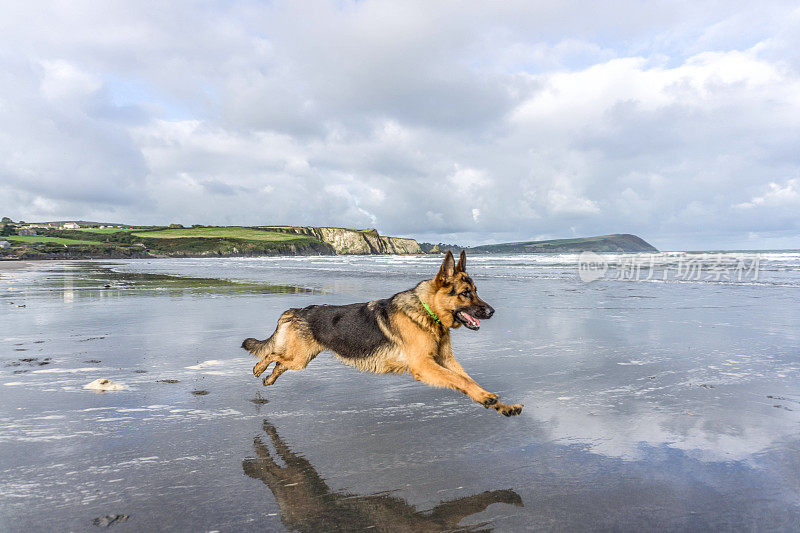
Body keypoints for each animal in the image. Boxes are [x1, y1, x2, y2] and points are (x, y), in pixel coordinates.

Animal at [241, 251, 520, 418]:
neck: (427, 311)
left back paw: (268, 379)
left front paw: (498, 404)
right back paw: (258, 369)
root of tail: (298, 309)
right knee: (273, 355)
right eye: (465, 293)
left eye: (476, 291)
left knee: (279, 362)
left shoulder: (445, 361)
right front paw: (488, 398)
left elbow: (468, 380)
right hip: (300, 358)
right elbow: (461, 380)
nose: (492, 311)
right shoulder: (425, 365)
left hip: (302, 358)